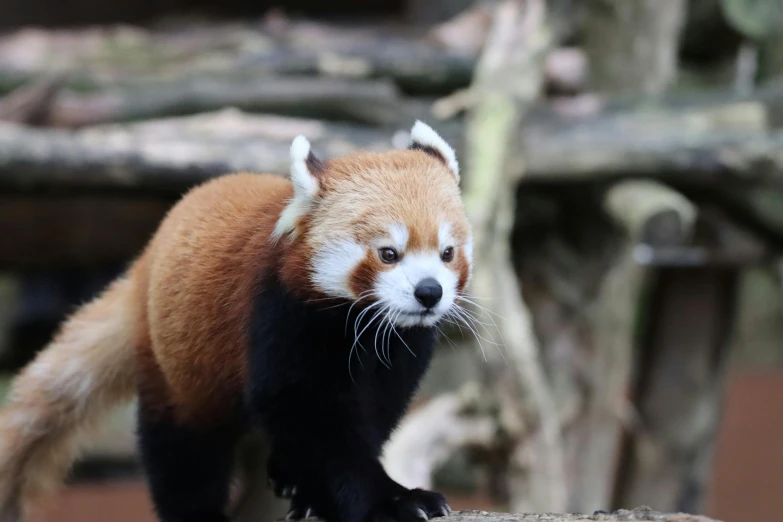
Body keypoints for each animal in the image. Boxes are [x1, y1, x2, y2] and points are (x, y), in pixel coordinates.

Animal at [0, 119, 472, 520]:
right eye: (388, 253)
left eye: (447, 253)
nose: (429, 292)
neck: (357, 327)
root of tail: (145, 263)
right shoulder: (280, 317)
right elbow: (314, 419)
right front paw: (391, 501)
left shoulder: (398, 355)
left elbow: (370, 417)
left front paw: (312, 491)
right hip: (177, 360)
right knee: (182, 449)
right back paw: (199, 512)